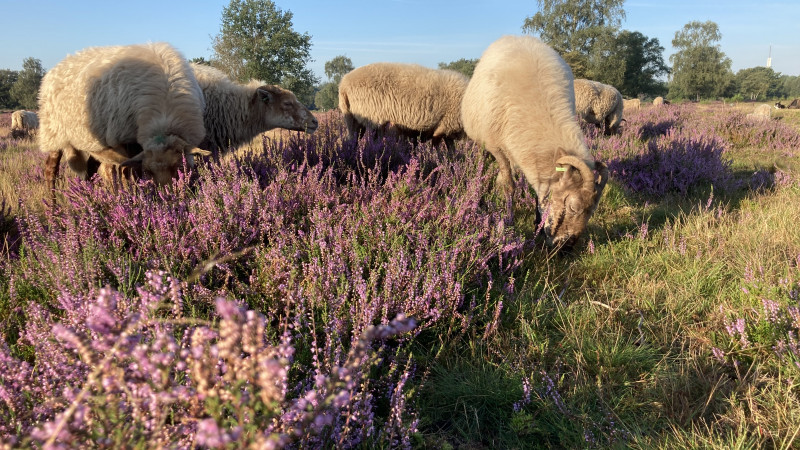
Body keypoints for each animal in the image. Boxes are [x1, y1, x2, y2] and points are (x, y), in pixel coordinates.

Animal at [38, 41, 208, 191]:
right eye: (149, 171)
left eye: (179, 167)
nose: (168, 194)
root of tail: (56, 68)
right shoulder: (125, 140)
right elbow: (129, 172)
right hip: (54, 133)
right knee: (50, 169)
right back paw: (52, 203)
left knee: (92, 170)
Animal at [340, 61, 468, 151]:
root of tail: (343, 84)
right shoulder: (445, 128)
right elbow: (441, 150)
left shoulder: (446, 130)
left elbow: (450, 151)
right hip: (375, 120)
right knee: (376, 142)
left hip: (353, 121)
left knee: (353, 140)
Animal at [462, 35, 608, 248]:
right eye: (573, 207)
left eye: (593, 211)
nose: (566, 247)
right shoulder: (497, 147)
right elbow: (509, 185)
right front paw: (509, 222)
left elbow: (539, 193)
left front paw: (537, 225)